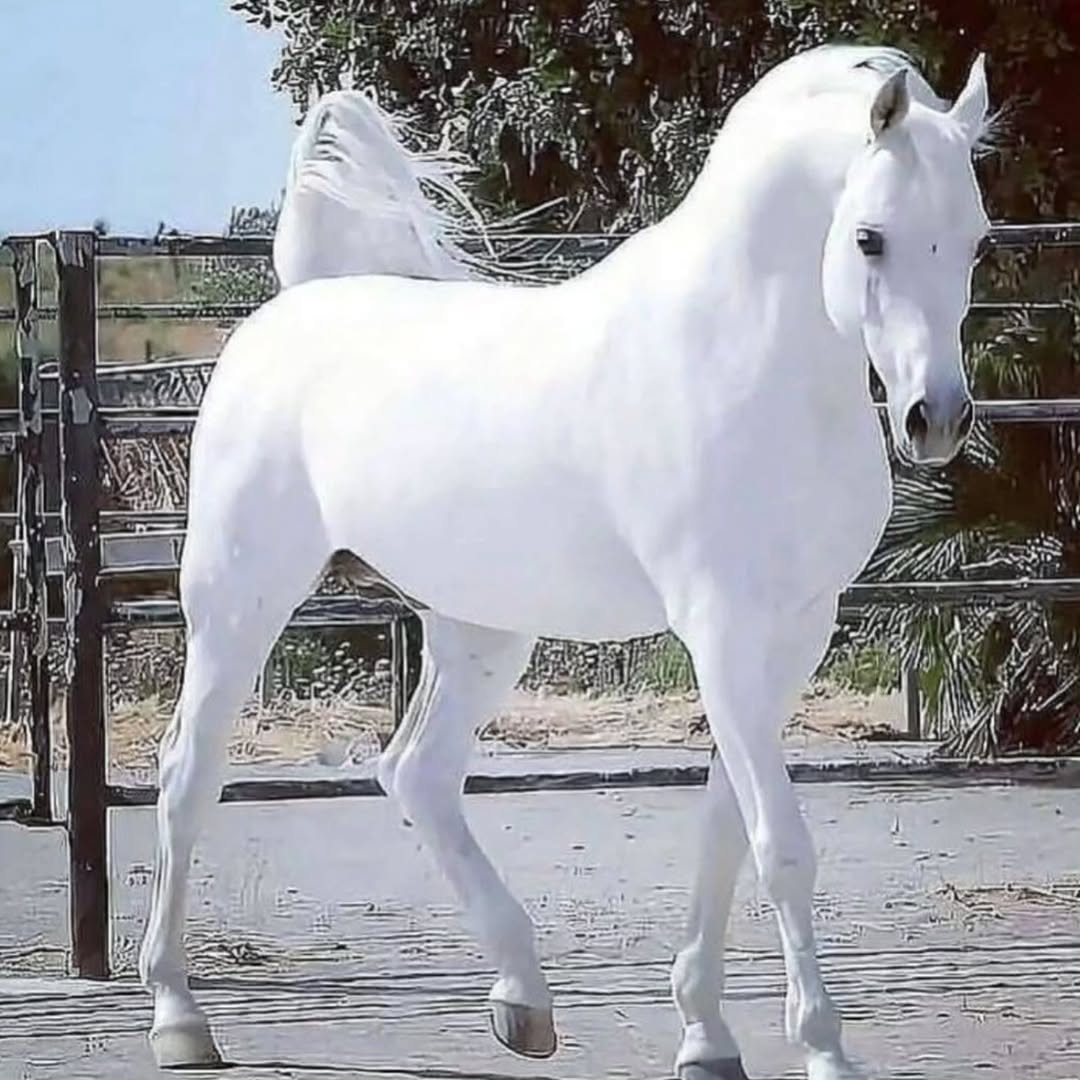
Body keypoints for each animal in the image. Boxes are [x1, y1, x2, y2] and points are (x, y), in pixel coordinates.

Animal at [138, 44, 991, 1080]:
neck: (746, 360)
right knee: (189, 774)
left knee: (417, 774)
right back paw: (179, 1017)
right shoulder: (722, 631)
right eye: (869, 238)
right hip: (240, 598)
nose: (935, 419)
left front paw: (705, 1036)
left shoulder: (792, 634)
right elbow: (780, 846)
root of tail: (293, 305)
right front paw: (824, 1047)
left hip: (480, 629)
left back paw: (523, 1000)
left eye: (977, 240)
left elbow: (725, 832)